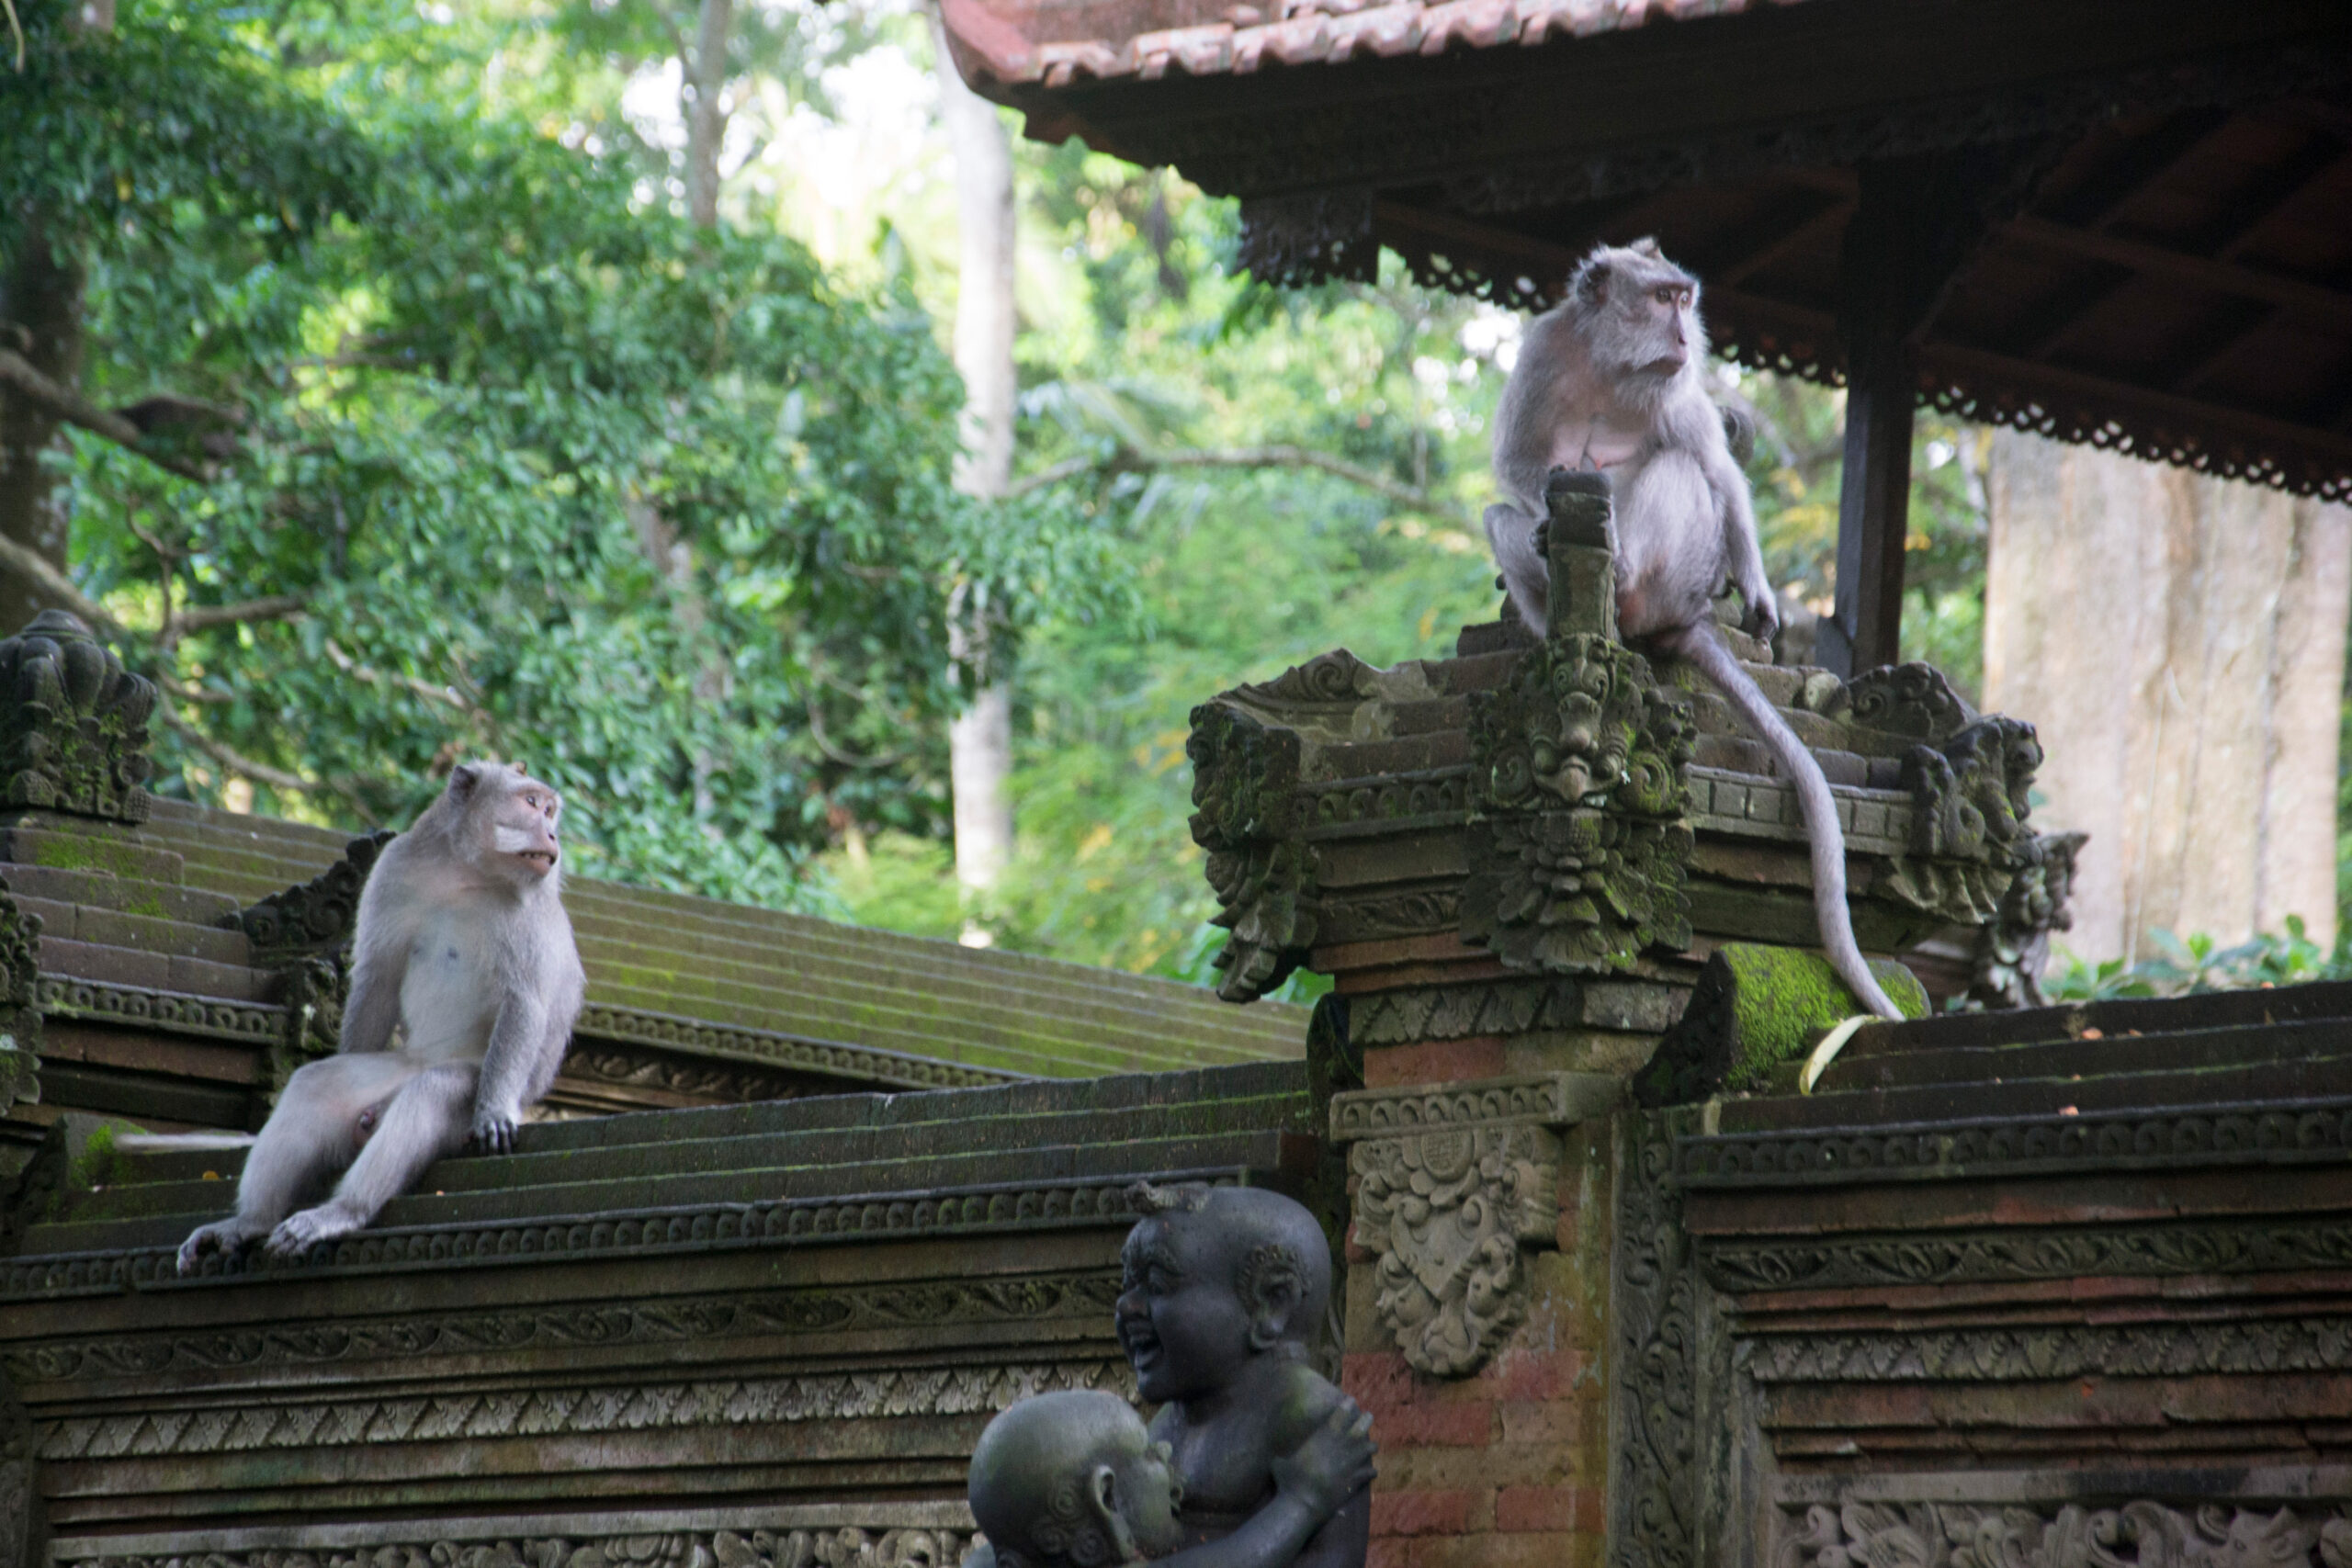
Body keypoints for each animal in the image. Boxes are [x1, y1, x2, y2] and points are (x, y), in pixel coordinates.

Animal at [176, 761, 586, 1272]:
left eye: (549, 810)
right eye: (532, 804)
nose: (552, 833)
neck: (467, 872)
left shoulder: (530, 909)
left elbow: (524, 1001)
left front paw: (494, 1112)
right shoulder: (396, 867)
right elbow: (379, 975)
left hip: (464, 1096)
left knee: (434, 1091)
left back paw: (342, 1212)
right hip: (392, 1070)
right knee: (317, 1084)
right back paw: (251, 1222)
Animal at [1484, 239, 1902, 1021]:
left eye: (1684, 300)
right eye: (1661, 300)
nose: (1684, 335)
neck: (1610, 365)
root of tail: (1685, 619)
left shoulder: (1677, 391)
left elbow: (1715, 469)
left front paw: (1761, 592)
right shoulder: (1541, 353)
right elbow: (1517, 463)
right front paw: (1547, 509)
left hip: (1686, 571)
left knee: (1680, 469)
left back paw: (1621, 579)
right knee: (1502, 517)